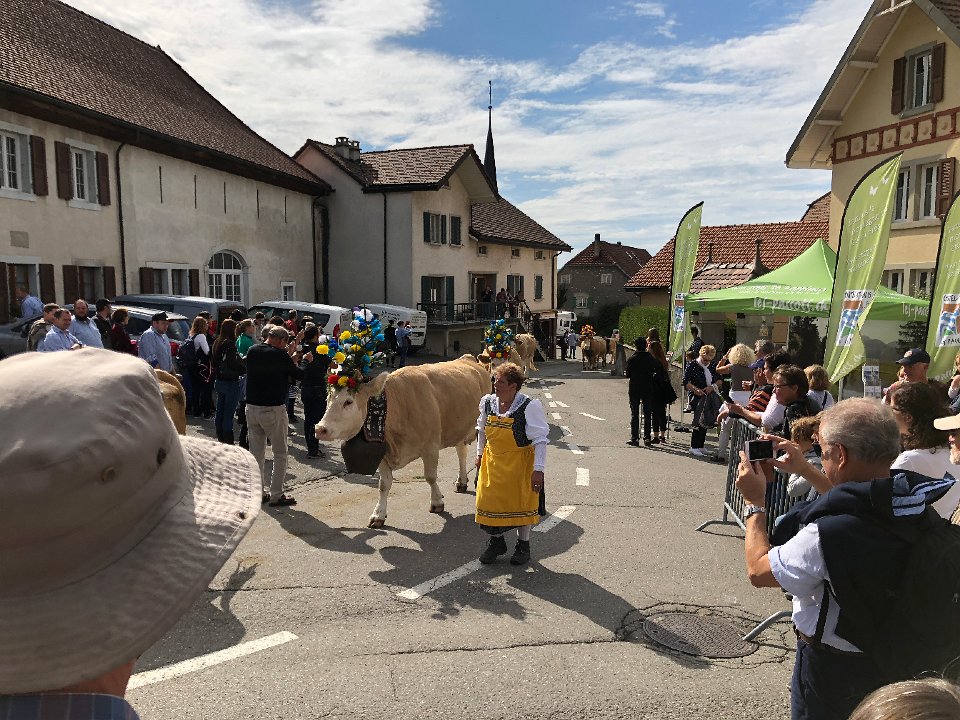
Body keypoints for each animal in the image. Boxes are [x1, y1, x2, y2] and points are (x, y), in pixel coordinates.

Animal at [315, 354, 490, 528]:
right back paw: (462, 481)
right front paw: (378, 514)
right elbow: (384, 485)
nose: (320, 429)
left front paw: (436, 501)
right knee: (461, 453)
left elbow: (430, 477)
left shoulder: (431, 447)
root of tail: (468, 358)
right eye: (328, 399)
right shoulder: (383, 454)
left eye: (348, 401)